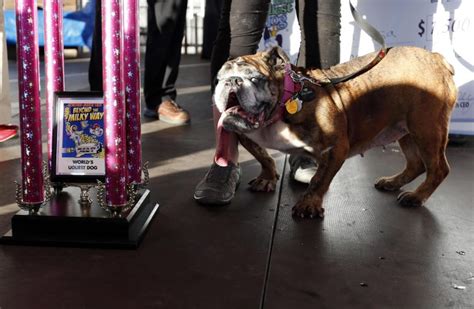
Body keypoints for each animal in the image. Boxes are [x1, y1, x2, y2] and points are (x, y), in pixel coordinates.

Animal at [214, 46, 456, 219]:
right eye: (218, 79)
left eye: (255, 79)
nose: (231, 81)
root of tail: (437, 58)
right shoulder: (246, 135)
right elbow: (263, 156)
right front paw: (267, 178)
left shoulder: (335, 148)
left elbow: (319, 180)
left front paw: (308, 204)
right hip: (405, 130)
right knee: (416, 164)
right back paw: (393, 182)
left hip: (425, 128)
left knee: (438, 169)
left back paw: (416, 196)